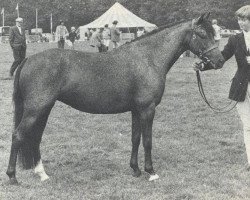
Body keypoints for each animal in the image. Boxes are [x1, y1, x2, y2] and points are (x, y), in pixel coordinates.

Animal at [5, 12, 225, 184]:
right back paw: (13, 176)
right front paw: (151, 172)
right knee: (18, 136)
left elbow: (135, 138)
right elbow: (147, 140)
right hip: (36, 109)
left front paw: (135, 169)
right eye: (202, 34)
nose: (219, 61)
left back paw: (42, 174)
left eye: (214, 33)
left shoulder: (136, 110)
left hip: (43, 109)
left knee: (35, 138)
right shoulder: (147, 109)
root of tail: (27, 60)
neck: (148, 58)